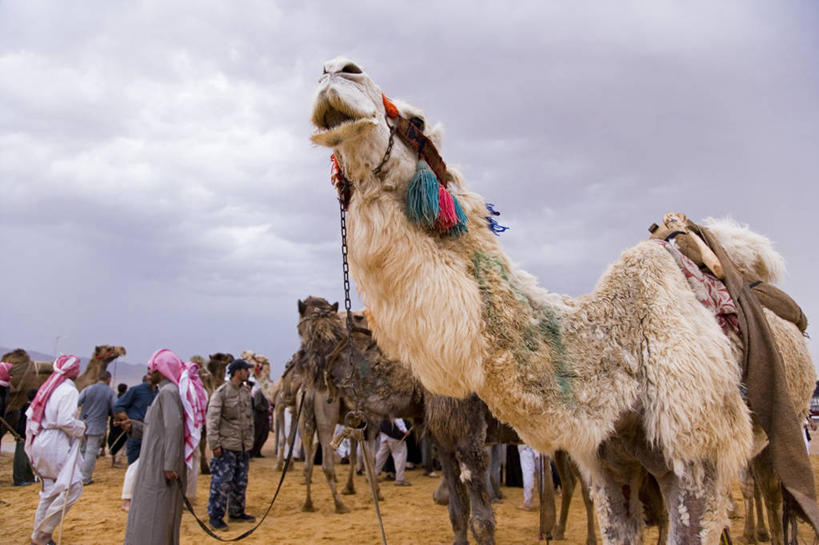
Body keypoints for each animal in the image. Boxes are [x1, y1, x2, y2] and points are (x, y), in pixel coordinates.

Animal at [310, 57, 816, 540]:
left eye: (416, 120)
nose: (335, 70)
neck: (616, 351)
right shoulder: (608, 464)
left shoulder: (699, 458)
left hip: (782, 423)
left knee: (775, 493)